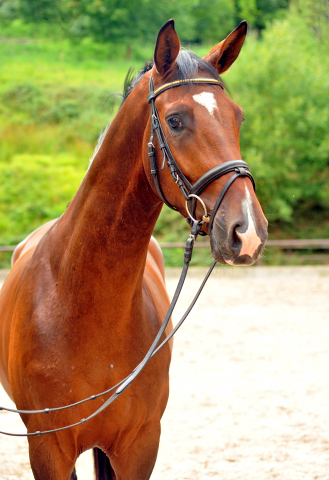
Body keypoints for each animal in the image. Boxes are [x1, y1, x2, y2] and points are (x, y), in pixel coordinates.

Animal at [0, 18, 266, 480]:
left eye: (238, 117)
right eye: (175, 120)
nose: (247, 231)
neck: (82, 303)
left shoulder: (140, 445)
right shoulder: (47, 449)